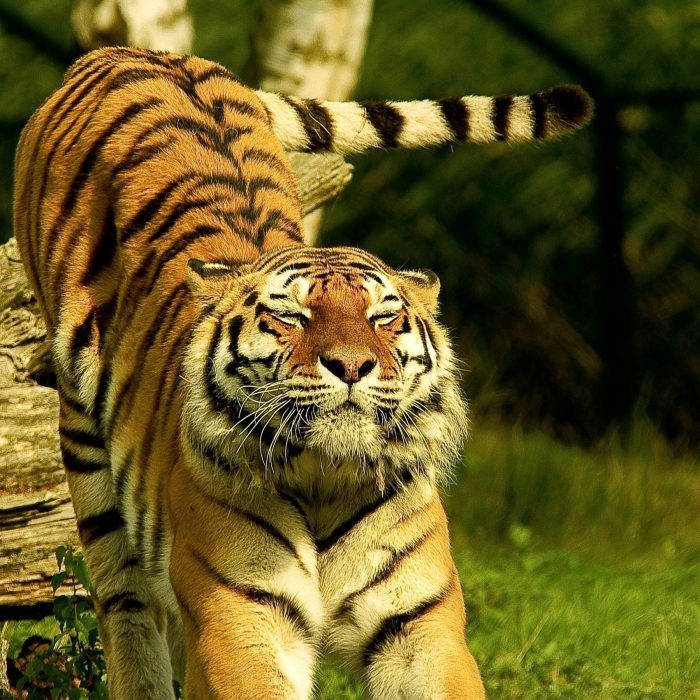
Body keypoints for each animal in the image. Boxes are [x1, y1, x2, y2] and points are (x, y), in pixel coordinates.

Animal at [13, 46, 592, 699]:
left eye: (383, 317)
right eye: (291, 316)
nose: (351, 365)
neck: (325, 478)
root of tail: (134, 52)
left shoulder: (420, 623)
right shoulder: (239, 615)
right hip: (87, 453)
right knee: (126, 606)